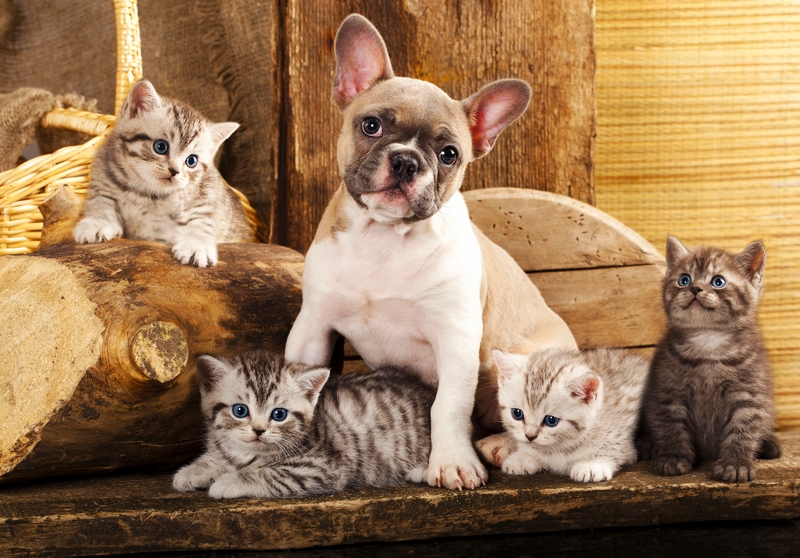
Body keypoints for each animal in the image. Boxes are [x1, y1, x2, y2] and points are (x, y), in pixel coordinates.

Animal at [74, 79, 253, 270]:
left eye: (191, 161)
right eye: (160, 146)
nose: (174, 171)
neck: (146, 193)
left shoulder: (207, 198)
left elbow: (201, 222)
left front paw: (196, 246)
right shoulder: (103, 181)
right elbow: (101, 203)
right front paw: (95, 223)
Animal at [173, 352, 438, 500]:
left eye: (279, 414)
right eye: (240, 410)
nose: (258, 430)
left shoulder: (321, 467)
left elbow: (268, 474)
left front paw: (227, 482)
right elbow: (219, 458)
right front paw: (192, 471)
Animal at [286, 14, 576, 490]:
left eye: (448, 154)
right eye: (371, 125)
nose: (407, 161)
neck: (384, 238)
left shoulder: (456, 340)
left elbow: (449, 406)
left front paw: (453, 462)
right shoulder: (313, 326)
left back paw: (501, 445)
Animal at [476, 348, 648, 484]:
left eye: (551, 420)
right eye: (517, 414)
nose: (530, 436)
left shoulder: (623, 439)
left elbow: (612, 449)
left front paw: (592, 465)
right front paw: (524, 456)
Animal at [644, 236, 780, 486]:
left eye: (718, 282)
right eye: (684, 279)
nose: (695, 288)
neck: (708, 340)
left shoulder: (749, 396)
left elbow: (742, 430)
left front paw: (735, 463)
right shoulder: (669, 393)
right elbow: (672, 428)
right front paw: (673, 457)